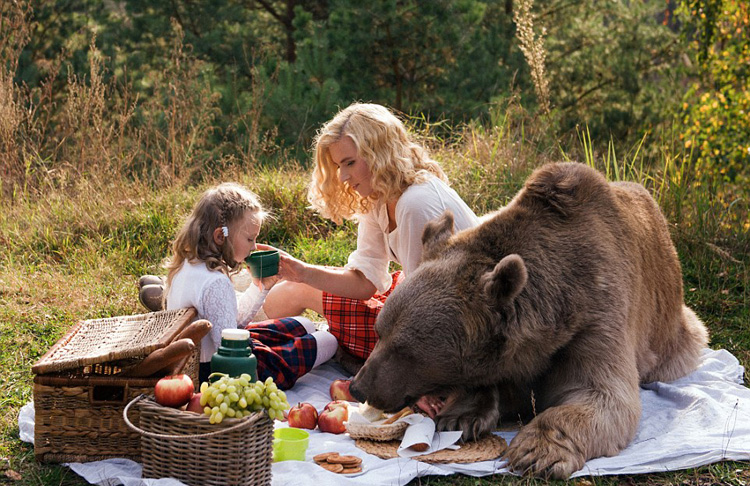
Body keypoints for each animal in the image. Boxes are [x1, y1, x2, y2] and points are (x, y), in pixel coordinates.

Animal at [352, 162, 712, 478]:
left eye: (405, 350)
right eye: (379, 332)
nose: (359, 386)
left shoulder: (597, 314)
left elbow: (603, 393)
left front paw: (535, 452)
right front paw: (463, 415)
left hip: (674, 333)